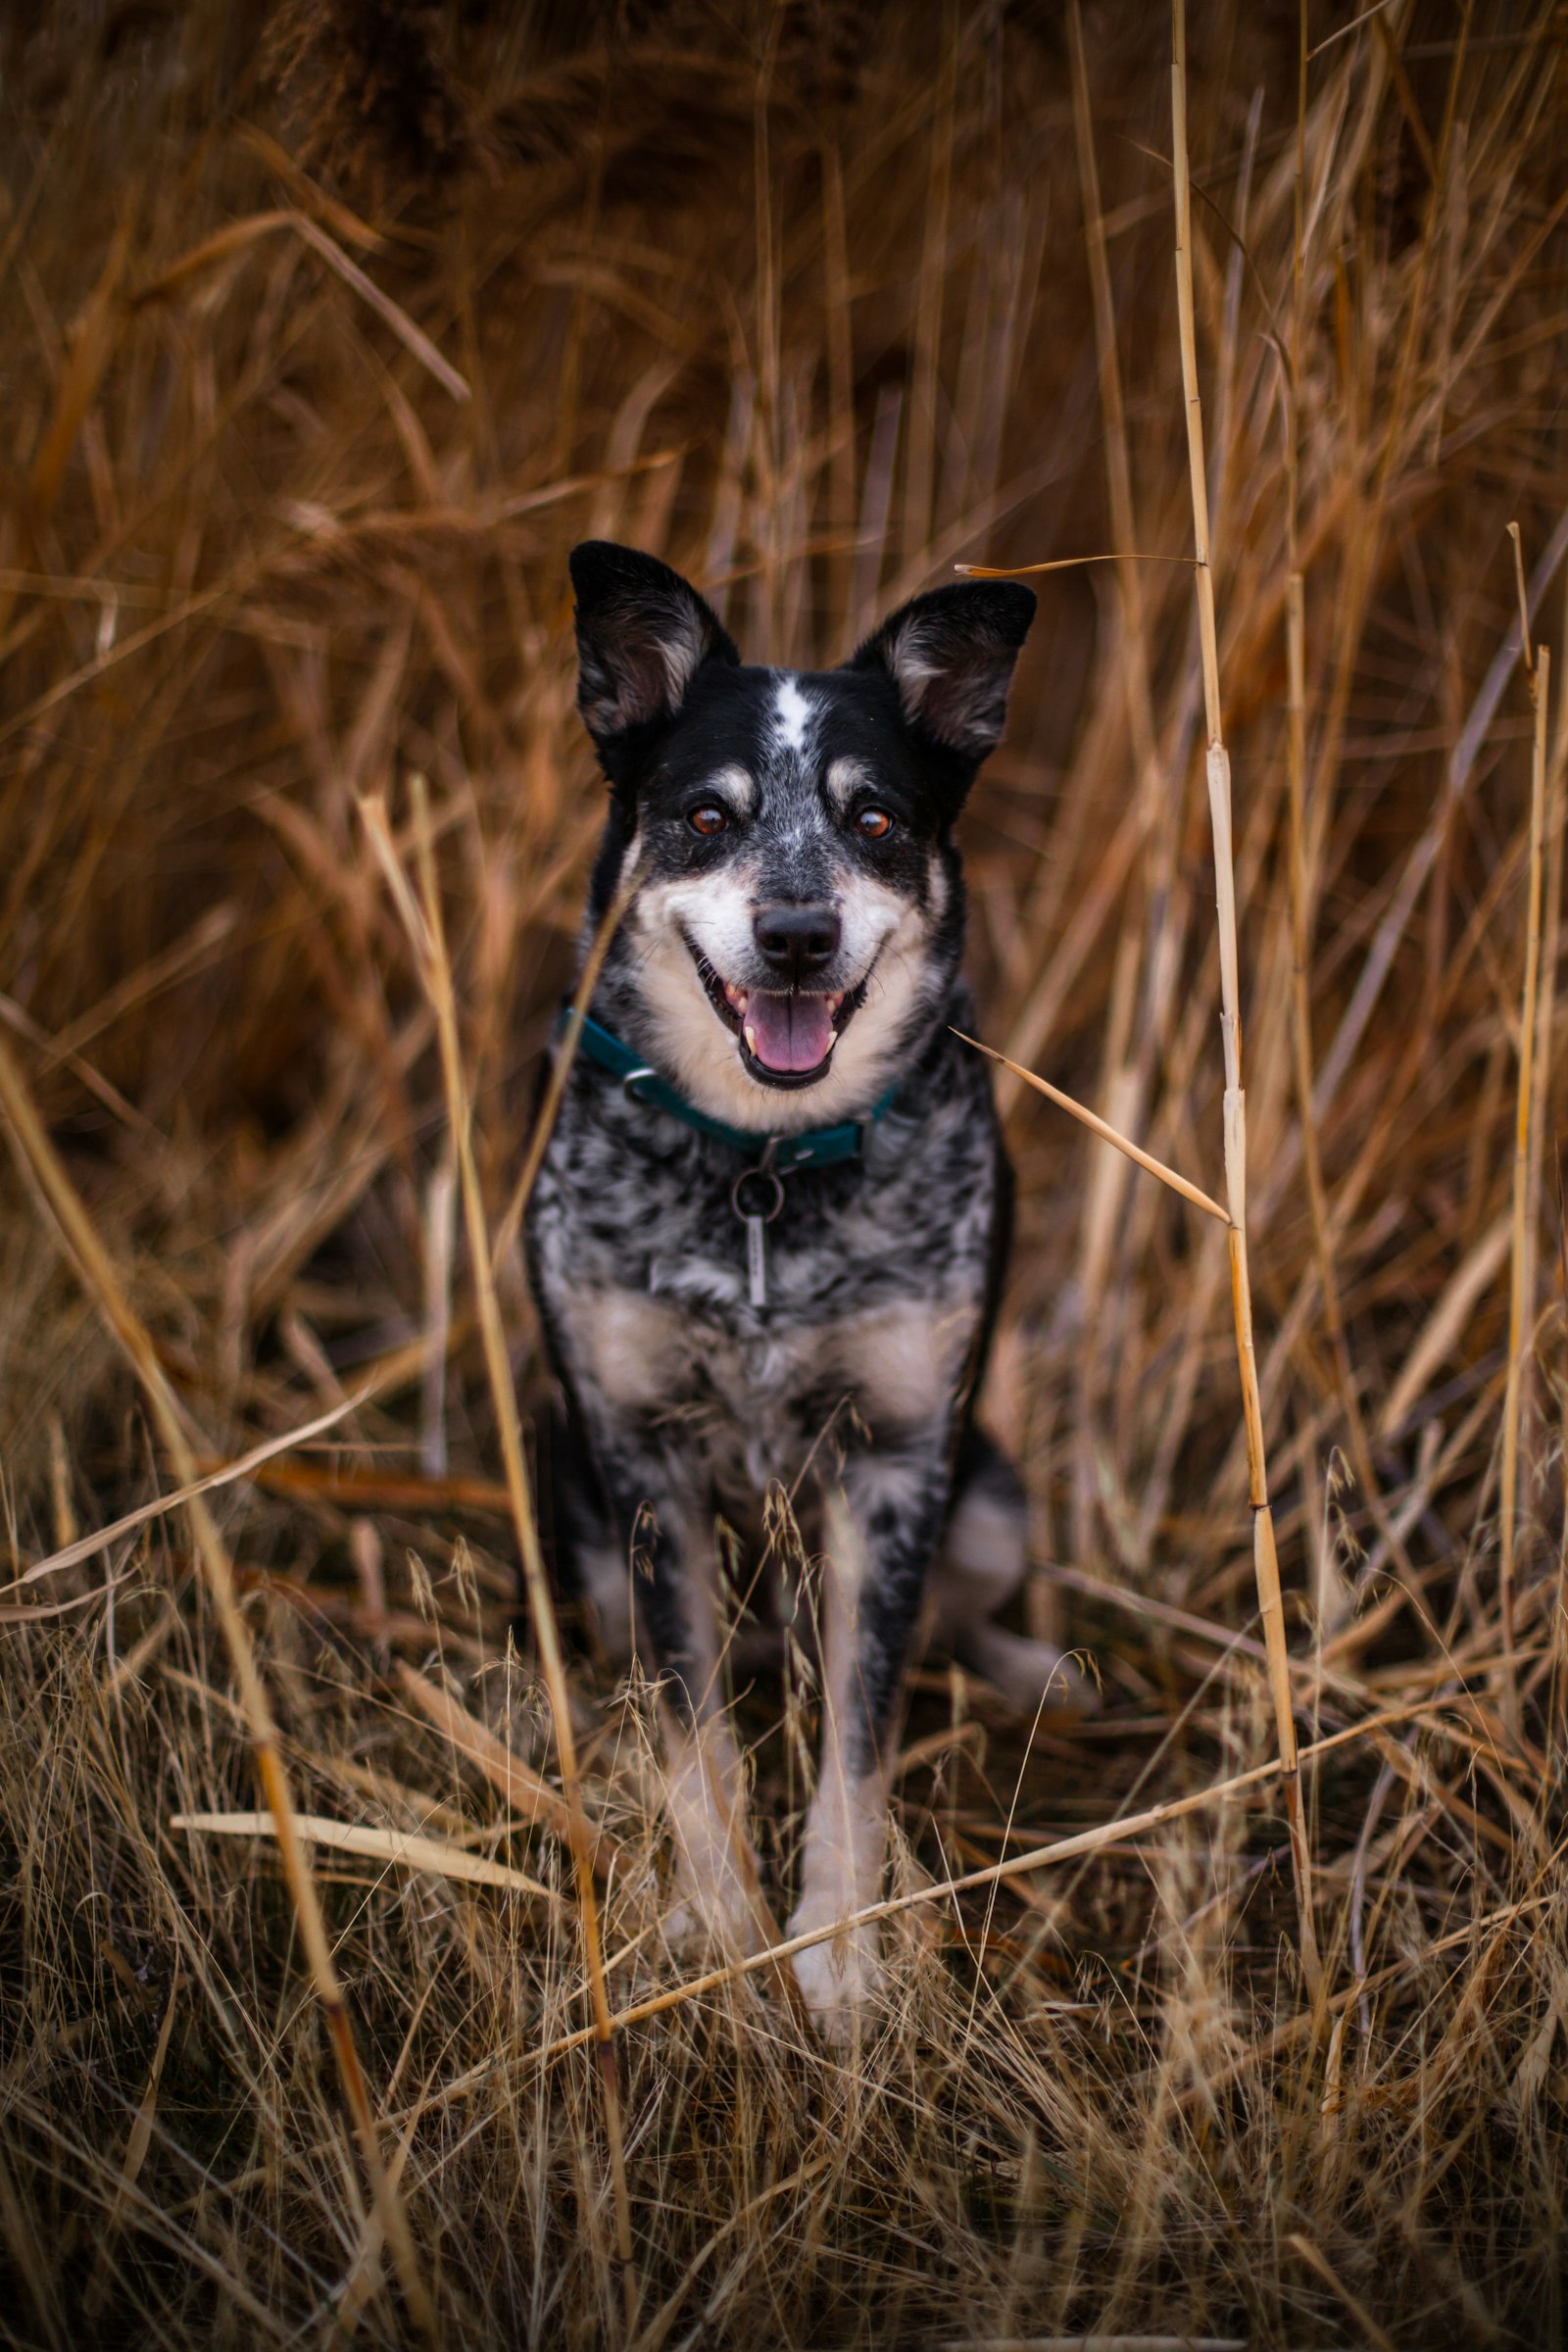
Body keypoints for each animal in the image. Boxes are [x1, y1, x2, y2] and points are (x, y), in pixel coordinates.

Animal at [526, 541, 1091, 2032]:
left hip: (990, 1491)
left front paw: (837, 1952)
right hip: (569, 1486)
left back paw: (1036, 1677)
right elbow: (692, 1730)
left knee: (960, 1620)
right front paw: (720, 1929)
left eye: (877, 820)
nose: (795, 933)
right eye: (707, 816)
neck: (764, 1177)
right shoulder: (643, 1463)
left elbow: (860, 1729)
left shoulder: (896, 1464)